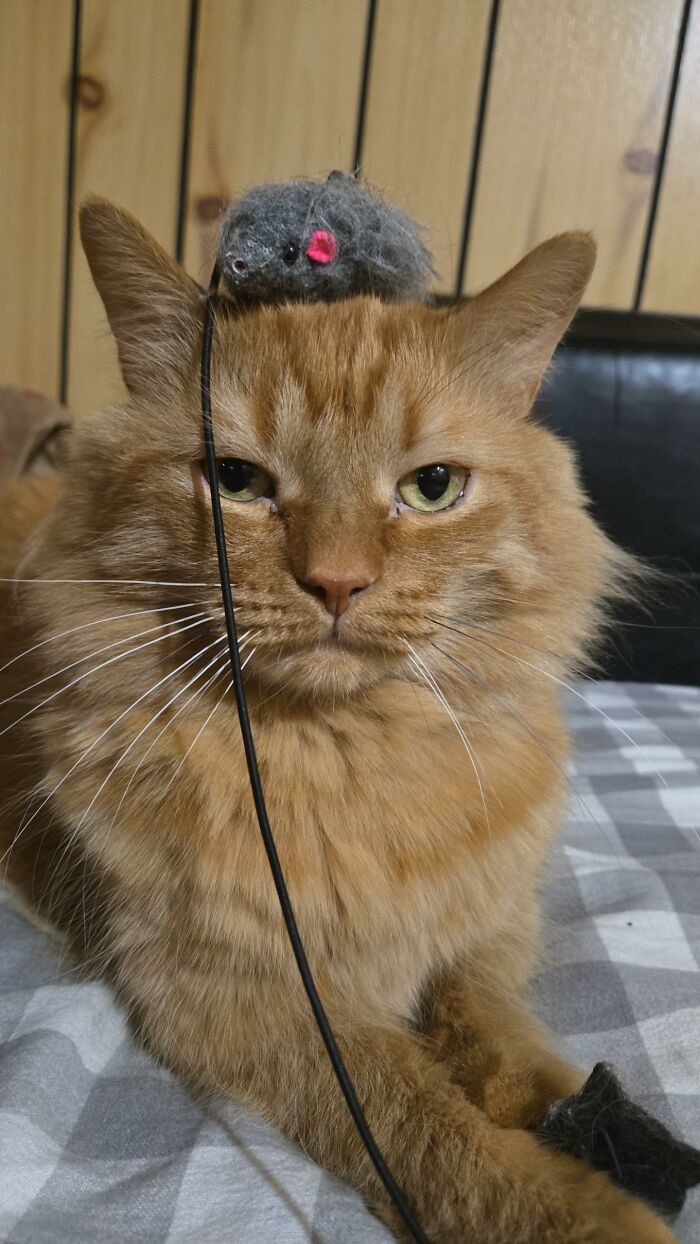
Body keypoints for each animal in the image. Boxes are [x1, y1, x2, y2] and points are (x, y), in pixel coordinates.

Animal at [0, 204, 681, 1244]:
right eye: (236, 480)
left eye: (432, 487)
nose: (335, 582)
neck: (347, 757)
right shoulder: (244, 1003)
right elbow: (430, 1123)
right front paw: (587, 1210)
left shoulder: (480, 936)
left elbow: (510, 1049)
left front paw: (597, 1127)